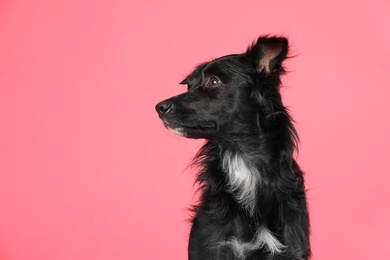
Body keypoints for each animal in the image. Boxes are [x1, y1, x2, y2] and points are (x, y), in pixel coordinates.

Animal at [155, 36, 310, 260]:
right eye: (189, 86)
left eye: (214, 81)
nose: (159, 107)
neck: (240, 154)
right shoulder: (212, 245)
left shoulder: (290, 249)